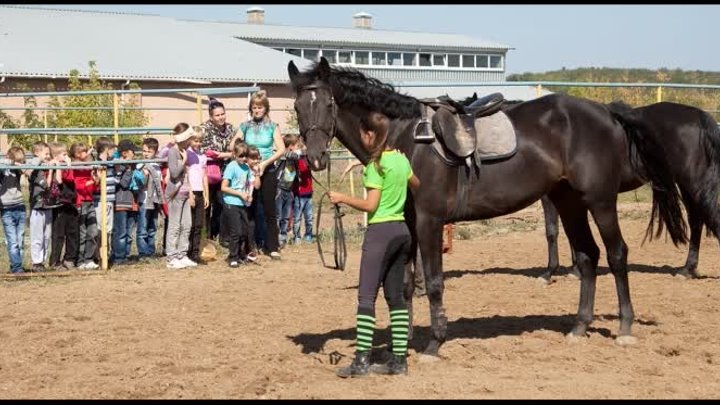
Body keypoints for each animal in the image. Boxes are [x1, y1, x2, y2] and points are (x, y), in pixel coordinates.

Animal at [286, 57, 688, 356]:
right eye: (297, 106)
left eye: (327, 103)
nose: (316, 158)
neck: (406, 138)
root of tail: (606, 113)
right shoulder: (410, 222)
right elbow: (407, 283)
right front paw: (405, 342)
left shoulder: (430, 221)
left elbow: (434, 281)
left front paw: (434, 343)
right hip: (569, 201)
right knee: (588, 256)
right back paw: (578, 326)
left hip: (600, 200)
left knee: (617, 254)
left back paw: (624, 326)